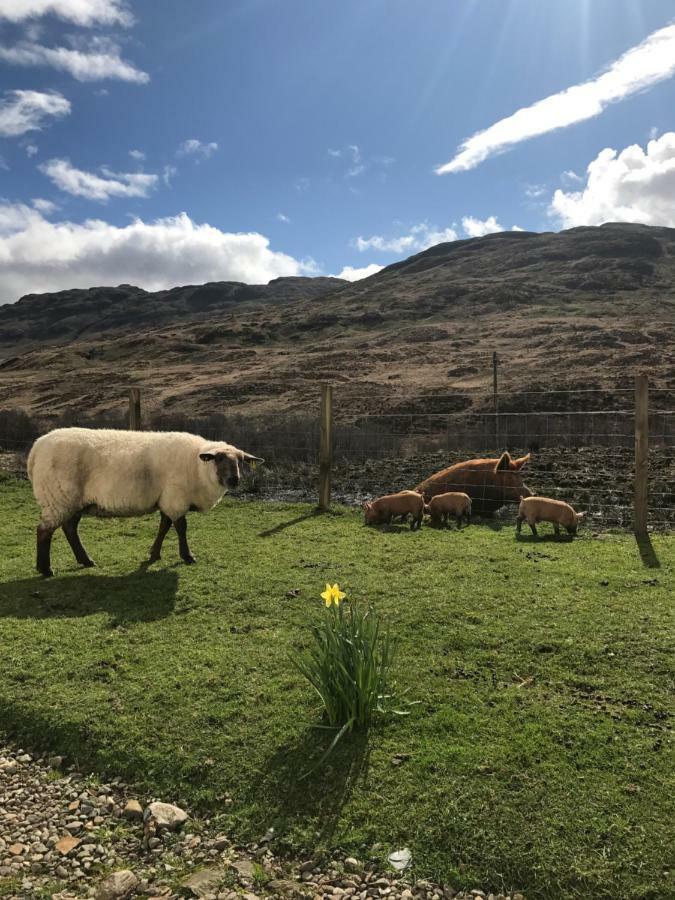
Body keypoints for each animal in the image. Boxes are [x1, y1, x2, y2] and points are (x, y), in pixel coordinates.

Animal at [27, 428, 264, 576]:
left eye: (241, 461)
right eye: (219, 459)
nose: (234, 480)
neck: (197, 466)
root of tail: (36, 448)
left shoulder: (166, 499)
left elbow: (164, 527)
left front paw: (154, 554)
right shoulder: (176, 498)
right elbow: (181, 527)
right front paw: (187, 556)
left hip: (72, 501)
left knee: (69, 529)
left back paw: (85, 560)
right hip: (58, 498)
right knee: (44, 531)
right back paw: (46, 569)